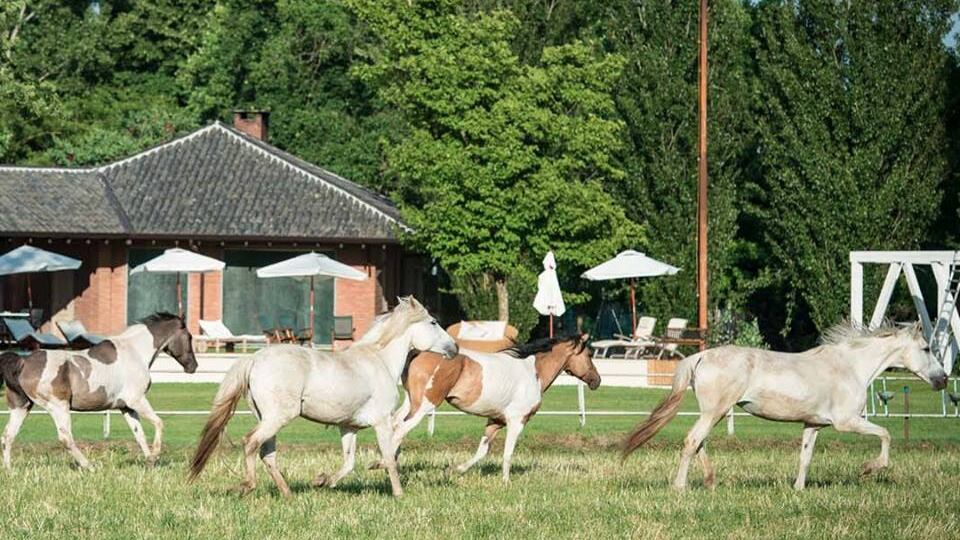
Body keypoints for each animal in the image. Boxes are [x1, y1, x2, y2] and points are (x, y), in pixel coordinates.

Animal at [0, 312, 197, 469]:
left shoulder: (126, 407)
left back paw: (9, 470)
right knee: (65, 437)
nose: (193, 366)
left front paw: (150, 461)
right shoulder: (137, 400)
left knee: (8, 435)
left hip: (22, 406)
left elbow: (139, 434)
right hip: (58, 406)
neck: (135, 352)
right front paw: (155, 455)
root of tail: (23, 362)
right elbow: (159, 423)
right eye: (189, 337)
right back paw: (89, 466)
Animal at [188, 297, 458, 497]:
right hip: (277, 417)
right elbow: (389, 457)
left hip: (267, 418)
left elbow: (349, 463)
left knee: (267, 453)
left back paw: (288, 494)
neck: (379, 360)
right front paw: (399, 494)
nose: (454, 348)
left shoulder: (348, 426)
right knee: (251, 443)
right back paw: (247, 485)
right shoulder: (382, 422)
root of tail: (254, 359)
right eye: (433, 322)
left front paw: (322, 481)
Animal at [380, 334, 600, 481]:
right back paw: (384, 463)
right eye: (589, 354)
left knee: (394, 424)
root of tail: (417, 351)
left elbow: (482, 450)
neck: (533, 372)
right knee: (400, 429)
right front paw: (506, 482)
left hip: (412, 402)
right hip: (425, 405)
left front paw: (454, 470)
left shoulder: (495, 421)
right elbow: (508, 453)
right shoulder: (517, 421)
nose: (596, 380)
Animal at [622, 322, 948, 490]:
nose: (943, 379)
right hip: (714, 412)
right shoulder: (847, 421)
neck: (850, 366)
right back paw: (680, 487)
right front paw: (868, 469)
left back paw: (710, 481)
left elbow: (805, 457)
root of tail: (699, 356)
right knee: (692, 441)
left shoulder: (814, 424)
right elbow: (885, 435)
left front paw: (798, 489)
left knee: (698, 442)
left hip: (714, 413)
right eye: (926, 348)